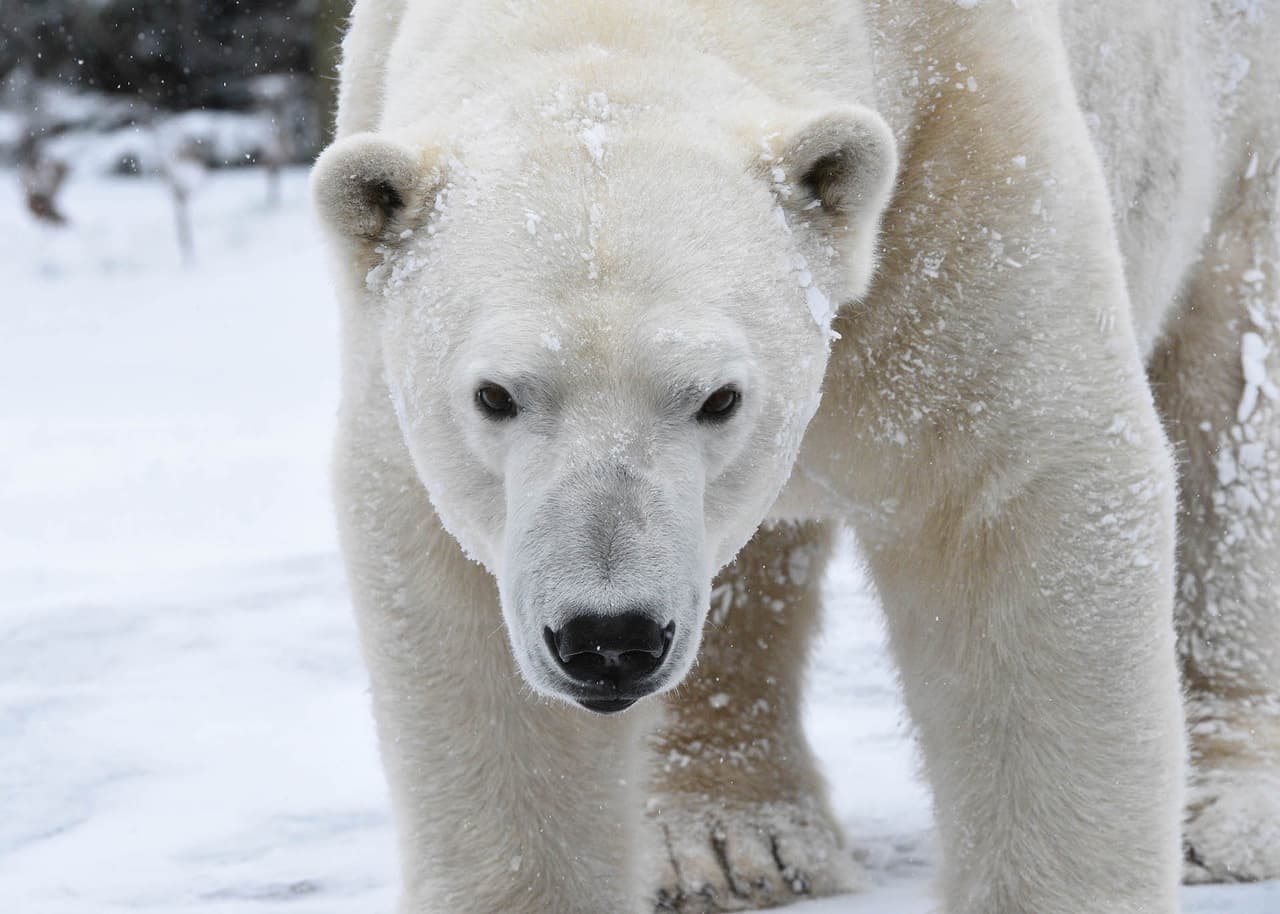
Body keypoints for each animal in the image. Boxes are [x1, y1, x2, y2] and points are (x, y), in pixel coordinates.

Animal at [311, 1, 1280, 912]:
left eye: (720, 396)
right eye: (494, 395)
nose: (609, 638)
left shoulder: (967, 166)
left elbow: (1011, 506)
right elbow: (467, 614)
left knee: (1232, 409)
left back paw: (1223, 813)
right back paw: (727, 843)